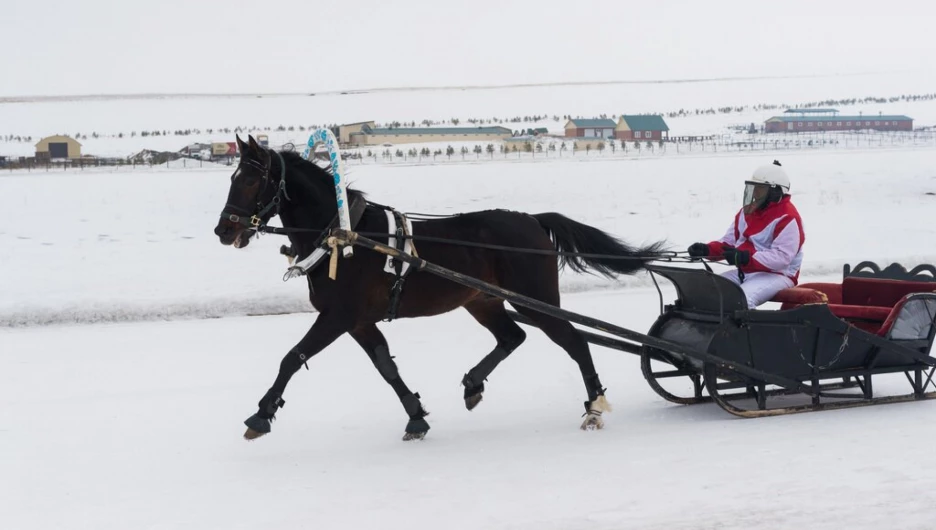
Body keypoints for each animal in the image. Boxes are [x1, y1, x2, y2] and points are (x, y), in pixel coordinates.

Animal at [214, 134, 664, 440]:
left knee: (575, 341)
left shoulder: (338, 316)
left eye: (251, 180)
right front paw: (416, 415)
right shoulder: (358, 321)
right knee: (513, 336)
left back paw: (594, 406)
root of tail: (532, 220)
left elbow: (292, 357)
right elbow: (386, 366)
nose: (223, 230)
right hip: (484, 300)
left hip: (535, 300)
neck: (343, 237)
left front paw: (261, 415)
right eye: (233, 177)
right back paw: (473, 384)